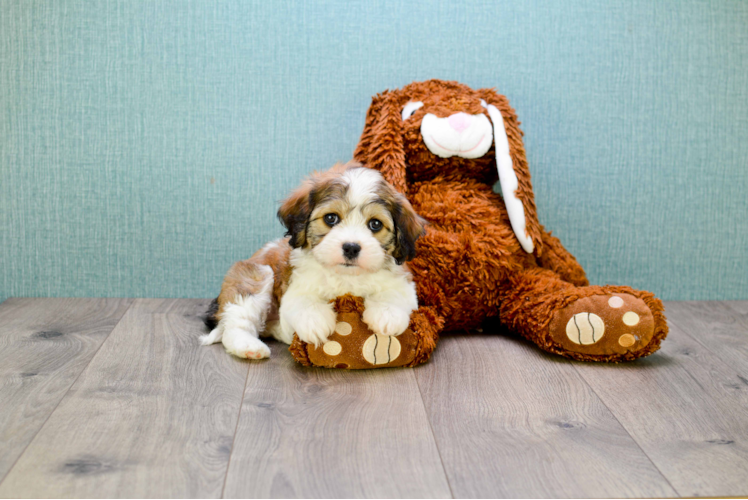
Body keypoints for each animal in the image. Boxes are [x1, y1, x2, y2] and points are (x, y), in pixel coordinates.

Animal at [200, 161, 426, 360]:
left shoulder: (403, 283)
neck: (347, 277)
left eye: (375, 224)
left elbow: (395, 294)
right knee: (236, 324)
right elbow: (303, 300)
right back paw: (249, 346)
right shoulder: (295, 286)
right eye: (331, 218)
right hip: (255, 275)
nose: (351, 247)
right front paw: (315, 321)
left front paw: (387, 315)